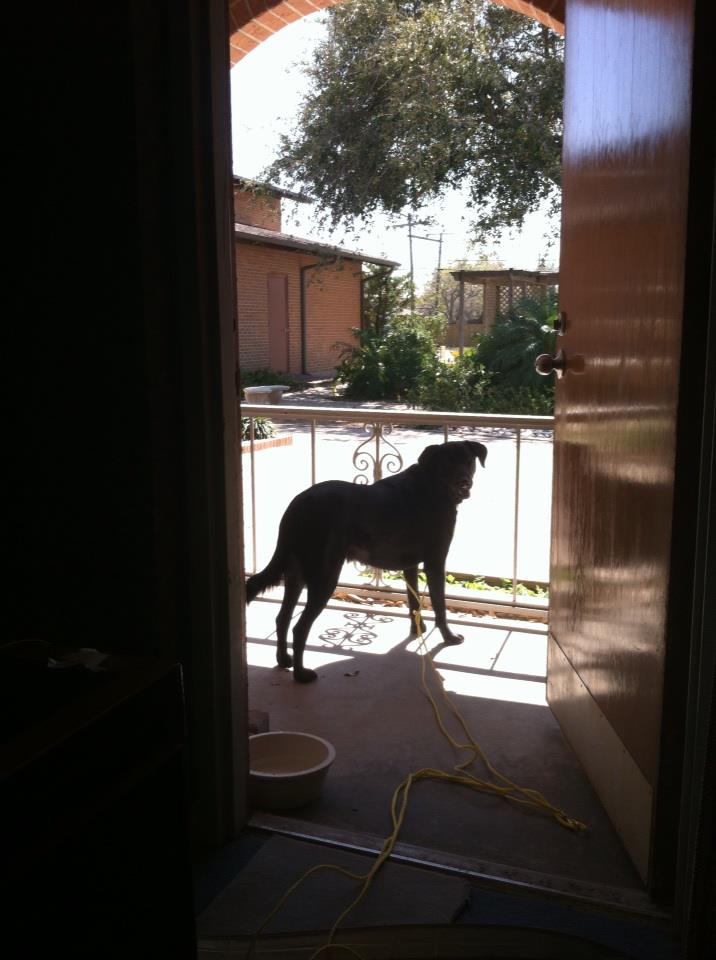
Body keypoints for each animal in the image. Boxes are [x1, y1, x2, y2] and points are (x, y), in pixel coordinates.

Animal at [246, 440, 487, 682]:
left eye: (468, 460)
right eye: (447, 463)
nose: (464, 481)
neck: (432, 483)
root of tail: (298, 504)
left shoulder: (411, 566)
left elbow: (414, 602)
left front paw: (417, 630)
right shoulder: (435, 562)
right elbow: (440, 606)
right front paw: (448, 637)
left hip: (295, 573)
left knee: (283, 618)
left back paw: (283, 660)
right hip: (324, 575)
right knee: (300, 627)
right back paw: (301, 674)